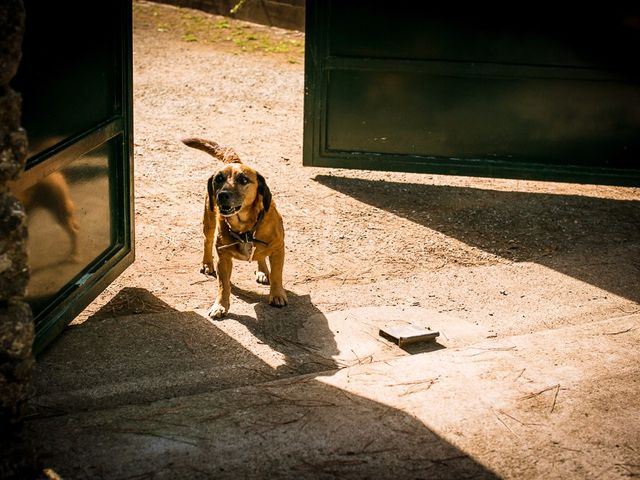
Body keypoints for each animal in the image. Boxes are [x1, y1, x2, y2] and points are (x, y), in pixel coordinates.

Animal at [182, 137, 288, 316]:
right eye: (218, 179)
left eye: (243, 180)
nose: (222, 195)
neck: (245, 229)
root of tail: (235, 160)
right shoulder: (223, 258)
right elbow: (223, 285)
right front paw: (220, 305)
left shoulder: (278, 250)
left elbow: (277, 275)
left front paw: (277, 295)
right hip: (208, 219)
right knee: (207, 241)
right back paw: (207, 264)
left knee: (260, 256)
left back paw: (262, 270)